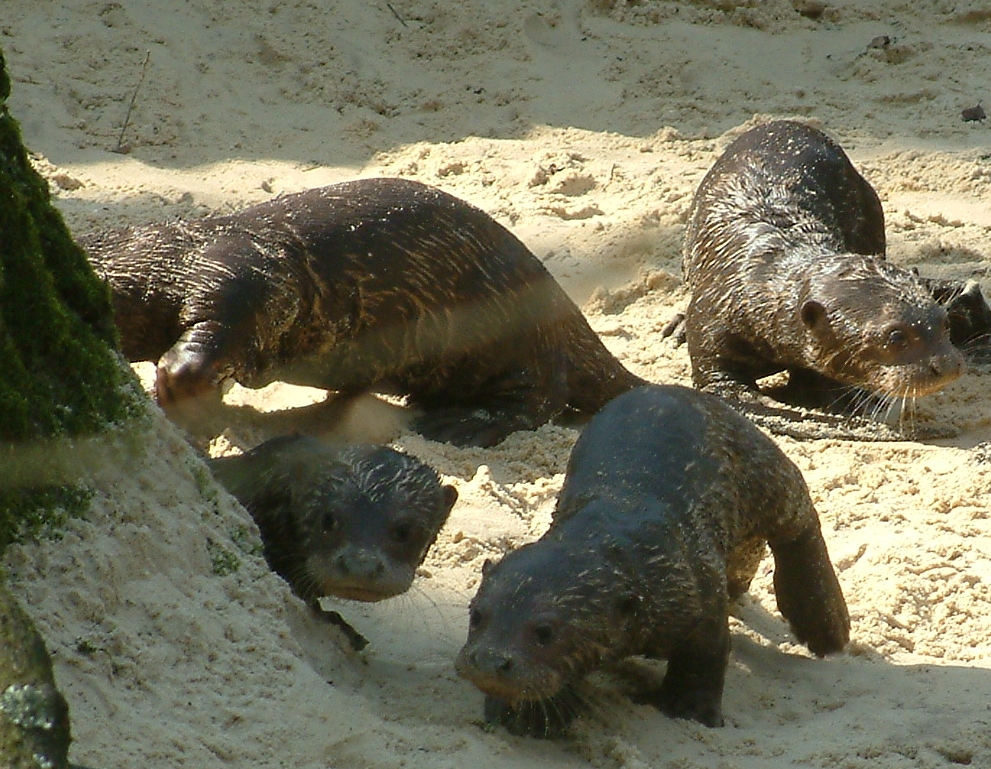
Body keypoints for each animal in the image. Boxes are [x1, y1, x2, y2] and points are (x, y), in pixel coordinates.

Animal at [456, 385, 849, 736]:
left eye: (545, 631)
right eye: (477, 616)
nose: (489, 662)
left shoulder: (699, 592)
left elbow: (706, 653)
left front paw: (689, 708)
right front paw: (523, 715)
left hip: (761, 467)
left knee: (799, 515)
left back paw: (826, 624)